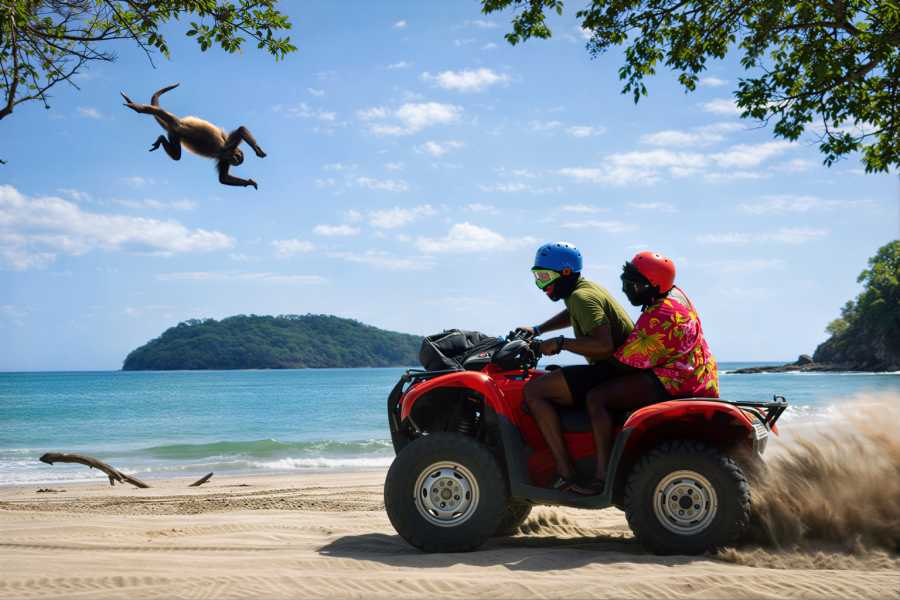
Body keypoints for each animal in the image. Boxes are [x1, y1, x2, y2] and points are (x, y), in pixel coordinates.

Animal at [120, 83, 266, 189]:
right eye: (238, 157)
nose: (236, 160)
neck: (225, 152)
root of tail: (174, 127)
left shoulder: (223, 159)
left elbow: (223, 179)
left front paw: (249, 182)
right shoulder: (229, 146)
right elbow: (241, 130)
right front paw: (258, 150)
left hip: (174, 135)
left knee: (176, 156)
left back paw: (161, 139)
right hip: (177, 124)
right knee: (160, 112)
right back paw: (138, 108)